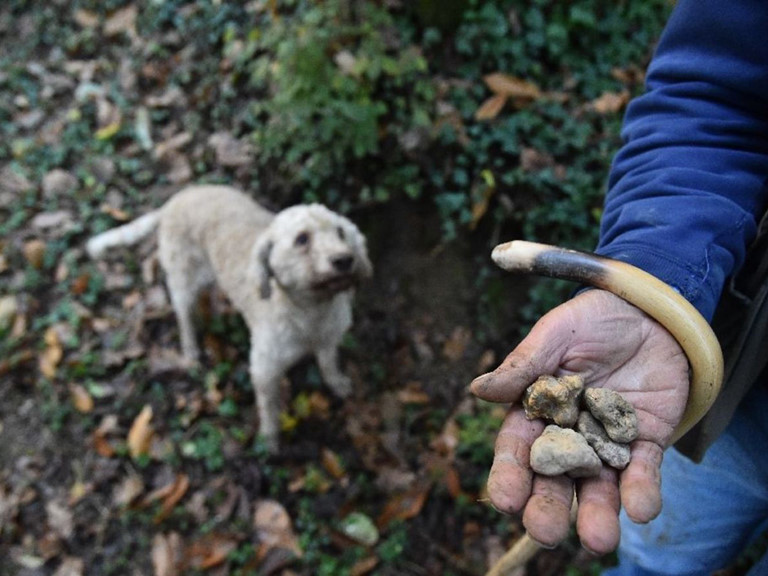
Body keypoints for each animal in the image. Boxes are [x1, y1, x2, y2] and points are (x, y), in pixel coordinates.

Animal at [87, 187, 372, 452]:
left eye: (341, 232)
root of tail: (176, 198)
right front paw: (270, 440)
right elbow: (269, 408)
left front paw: (338, 384)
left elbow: (329, 365)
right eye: (302, 239)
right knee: (184, 317)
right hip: (183, 282)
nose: (345, 260)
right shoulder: (264, 369)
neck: (312, 311)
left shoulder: (329, 340)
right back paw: (191, 349)